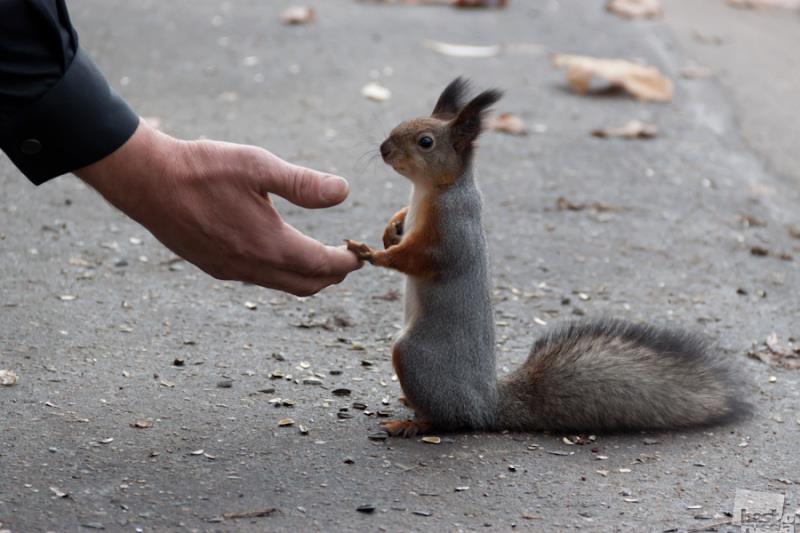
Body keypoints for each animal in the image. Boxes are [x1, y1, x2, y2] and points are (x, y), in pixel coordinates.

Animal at [346, 79, 752, 436]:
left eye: (426, 142)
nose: (383, 149)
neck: (429, 191)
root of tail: (486, 406)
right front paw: (392, 227)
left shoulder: (451, 235)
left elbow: (420, 259)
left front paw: (374, 253)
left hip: (415, 356)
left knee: (449, 421)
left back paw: (413, 423)